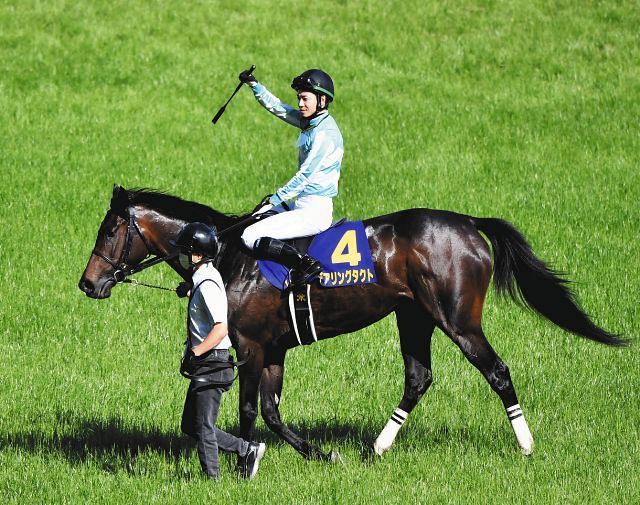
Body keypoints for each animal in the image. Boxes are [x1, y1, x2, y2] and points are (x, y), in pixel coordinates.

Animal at [79, 185, 626, 464]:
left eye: (109, 230)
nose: (88, 283)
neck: (230, 253)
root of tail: (468, 222)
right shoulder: (274, 349)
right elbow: (273, 412)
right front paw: (319, 454)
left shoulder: (251, 346)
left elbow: (252, 412)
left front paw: (244, 462)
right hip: (414, 317)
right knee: (418, 377)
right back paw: (377, 448)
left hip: (458, 320)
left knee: (497, 371)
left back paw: (526, 445)